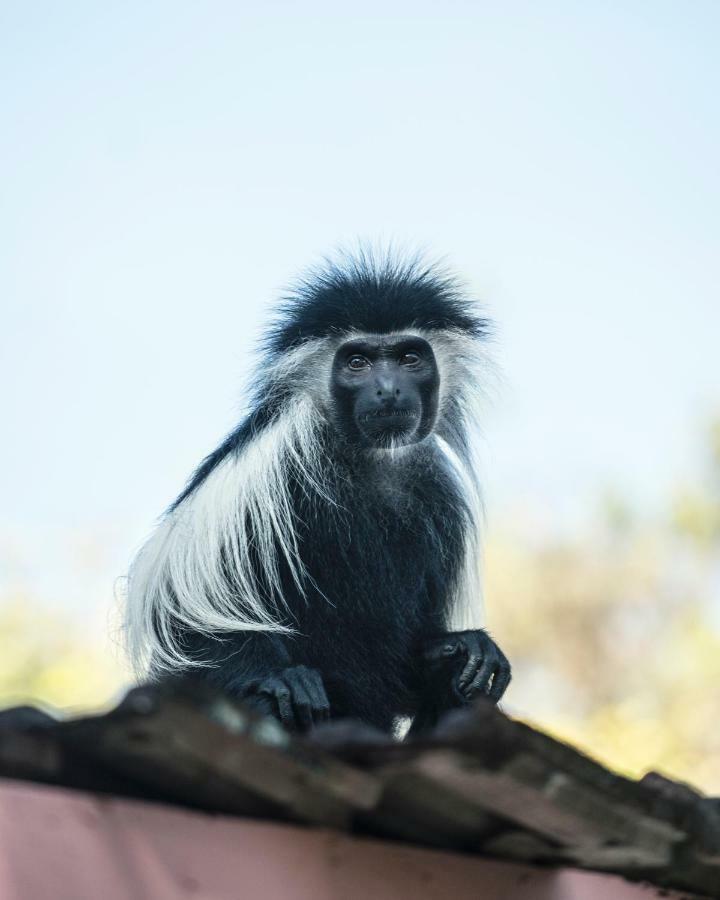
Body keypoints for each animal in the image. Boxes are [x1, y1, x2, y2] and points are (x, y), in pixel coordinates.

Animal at [128, 250, 512, 736]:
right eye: (357, 363)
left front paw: (463, 647)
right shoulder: (270, 463)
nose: (388, 390)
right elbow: (190, 618)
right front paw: (282, 679)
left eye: (409, 357)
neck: (373, 459)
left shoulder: (439, 493)